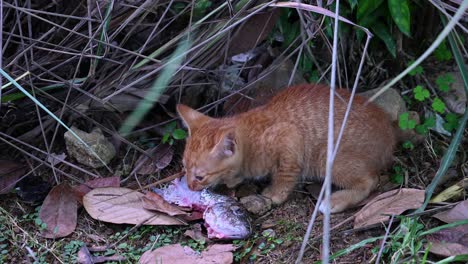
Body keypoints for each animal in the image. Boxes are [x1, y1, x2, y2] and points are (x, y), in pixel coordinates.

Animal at [176, 83, 394, 213]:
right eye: (184, 168)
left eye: (199, 177)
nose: (189, 186)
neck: (251, 138)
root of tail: (391, 133)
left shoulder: (290, 137)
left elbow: (286, 172)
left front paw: (276, 193)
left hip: (327, 156)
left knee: (370, 180)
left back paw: (336, 200)